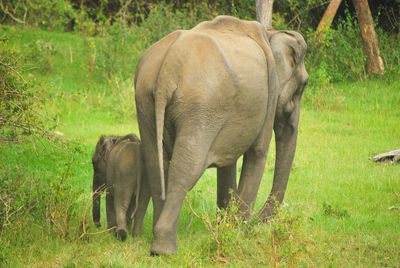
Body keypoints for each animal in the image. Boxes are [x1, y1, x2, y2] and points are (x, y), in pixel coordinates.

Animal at [134, 15, 310, 254]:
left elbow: (228, 163)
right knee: (186, 169)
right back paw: (164, 250)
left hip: (146, 101)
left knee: (155, 164)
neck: (271, 33)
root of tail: (167, 68)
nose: (256, 221)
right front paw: (240, 234)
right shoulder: (270, 91)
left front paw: (227, 226)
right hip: (200, 107)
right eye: (304, 85)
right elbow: (257, 152)